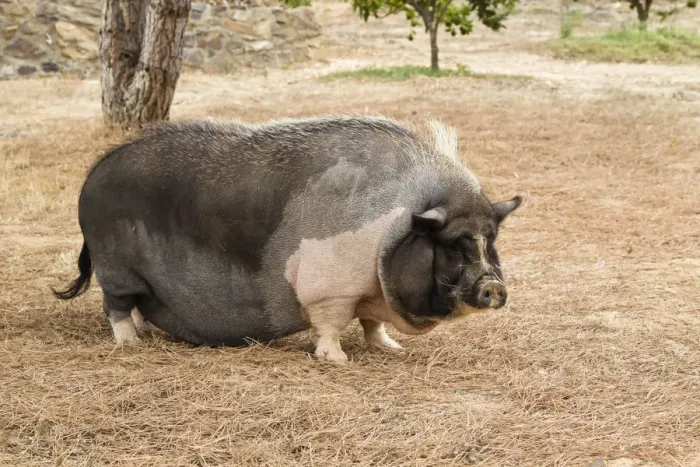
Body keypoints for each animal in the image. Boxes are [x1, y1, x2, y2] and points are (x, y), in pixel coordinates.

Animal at [53, 115, 521, 364]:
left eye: (491, 238)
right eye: (453, 243)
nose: (494, 287)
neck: (395, 227)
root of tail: (93, 175)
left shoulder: (370, 289)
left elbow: (371, 322)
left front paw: (391, 349)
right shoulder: (331, 289)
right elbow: (332, 323)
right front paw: (339, 360)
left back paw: (141, 334)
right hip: (115, 266)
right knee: (115, 305)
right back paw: (130, 343)